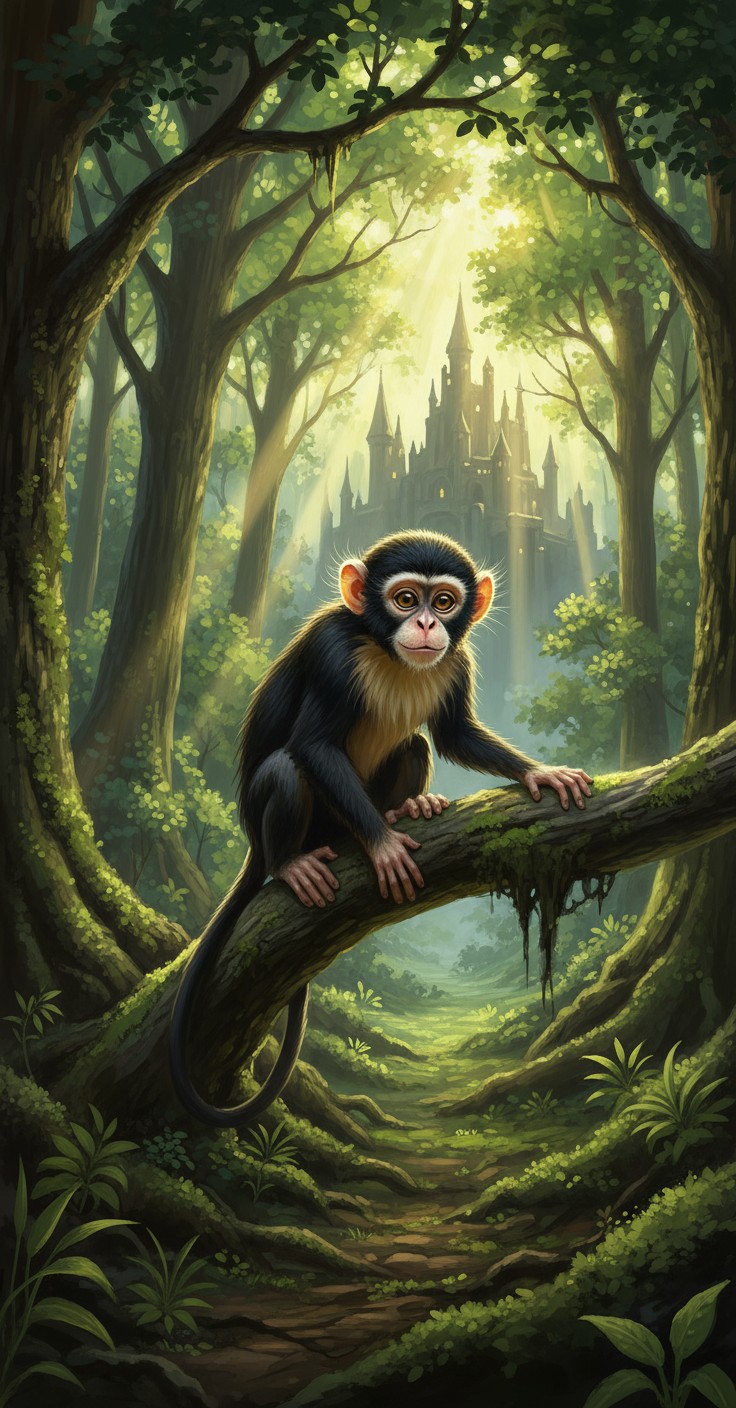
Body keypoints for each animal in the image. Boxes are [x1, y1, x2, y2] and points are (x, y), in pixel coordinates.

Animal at [169, 529, 592, 1126]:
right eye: (405, 599)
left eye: (444, 602)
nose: (427, 624)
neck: (383, 648)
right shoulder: (331, 653)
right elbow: (315, 744)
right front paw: (384, 846)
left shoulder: (458, 661)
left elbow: (455, 734)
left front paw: (541, 773)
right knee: (285, 769)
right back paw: (293, 862)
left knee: (414, 745)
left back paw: (406, 808)